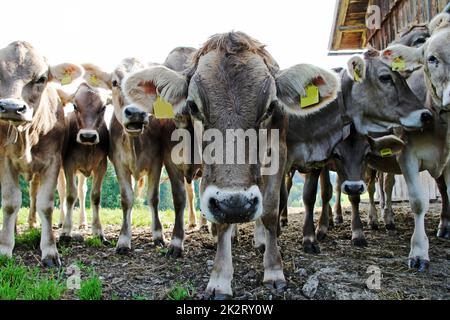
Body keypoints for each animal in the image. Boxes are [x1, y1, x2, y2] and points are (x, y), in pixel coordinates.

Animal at [0, 41, 82, 266]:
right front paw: (5, 246)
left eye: (41, 79)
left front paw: (50, 250)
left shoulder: (52, 162)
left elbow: (45, 204)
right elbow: (10, 202)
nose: (11, 107)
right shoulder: (5, 160)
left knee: (34, 193)